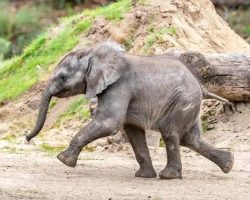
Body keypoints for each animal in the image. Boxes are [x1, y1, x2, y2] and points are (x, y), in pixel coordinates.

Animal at [26, 41, 233, 179]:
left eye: (62, 77)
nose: (27, 138)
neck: (94, 53)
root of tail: (202, 87)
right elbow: (132, 130)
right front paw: (144, 176)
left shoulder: (118, 86)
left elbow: (109, 122)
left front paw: (63, 160)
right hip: (188, 103)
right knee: (189, 139)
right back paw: (229, 163)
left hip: (182, 101)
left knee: (171, 134)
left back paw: (168, 176)